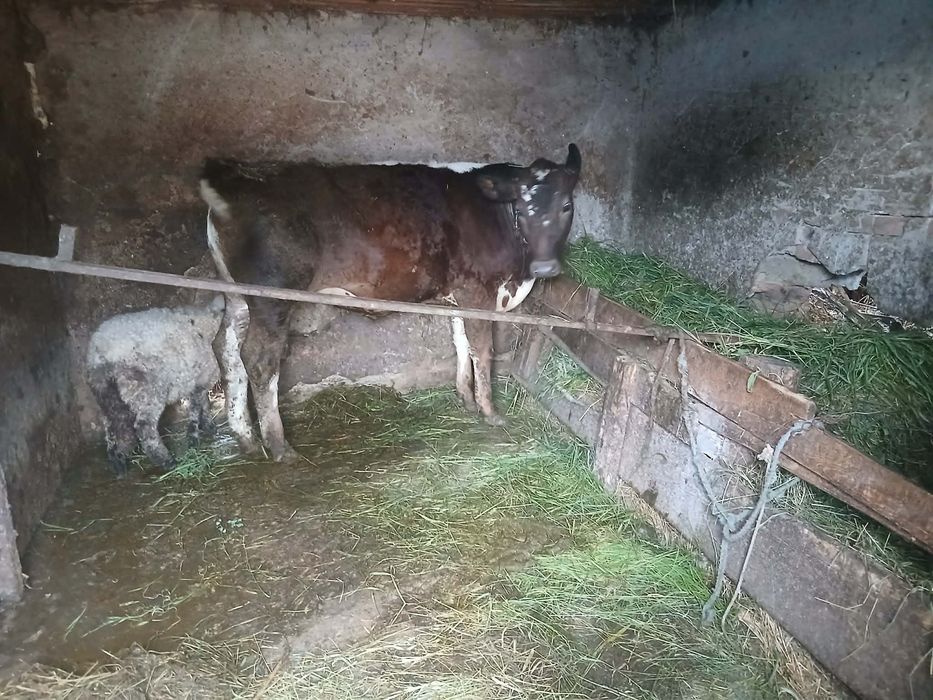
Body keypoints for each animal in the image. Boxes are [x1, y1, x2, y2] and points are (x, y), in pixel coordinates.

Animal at [200, 145, 582, 462]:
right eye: (522, 209)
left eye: (566, 205)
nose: (545, 268)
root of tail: (232, 173)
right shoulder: (479, 291)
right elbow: (481, 350)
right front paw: (490, 412)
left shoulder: (459, 293)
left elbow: (461, 343)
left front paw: (466, 397)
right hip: (272, 296)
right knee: (259, 358)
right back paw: (280, 447)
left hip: (237, 295)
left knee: (227, 348)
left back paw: (246, 437)